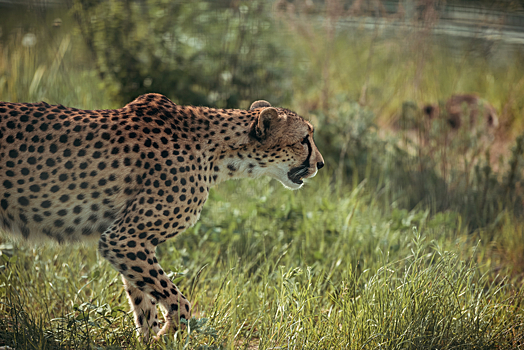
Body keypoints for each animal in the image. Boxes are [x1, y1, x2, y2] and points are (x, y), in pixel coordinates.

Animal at [0, 93, 326, 340]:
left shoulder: (130, 242)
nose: (321, 164)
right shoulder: (124, 238)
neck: (220, 154)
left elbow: (144, 302)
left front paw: (150, 339)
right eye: (304, 139)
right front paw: (167, 336)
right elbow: (178, 301)